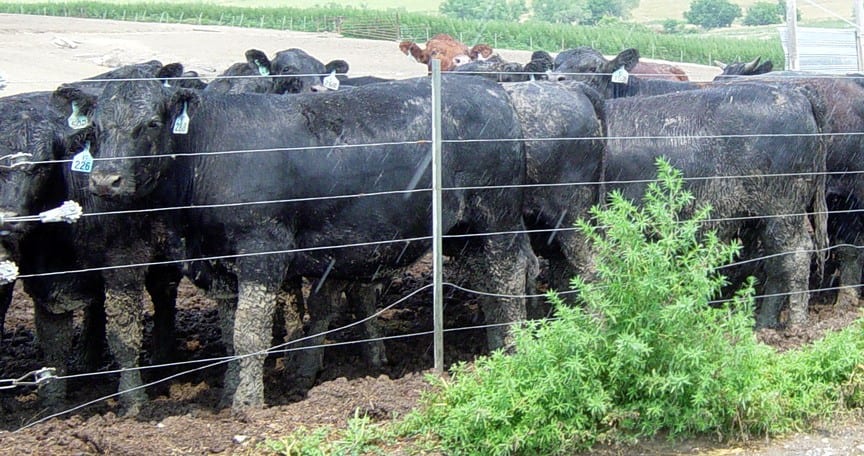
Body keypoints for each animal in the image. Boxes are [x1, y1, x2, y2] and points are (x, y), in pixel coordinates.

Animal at [59, 74, 532, 410]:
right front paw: (230, 391)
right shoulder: (219, 259)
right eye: (95, 129)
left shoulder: (262, 246)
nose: (104, 180)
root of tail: (493, 91)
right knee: (490, 284)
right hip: (464, 231)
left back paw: (513, 348)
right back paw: (495, 348)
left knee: (509, 279)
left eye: (151, 124)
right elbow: (230, 334)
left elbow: (251, 332)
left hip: (499, 216)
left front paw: (248, 404)